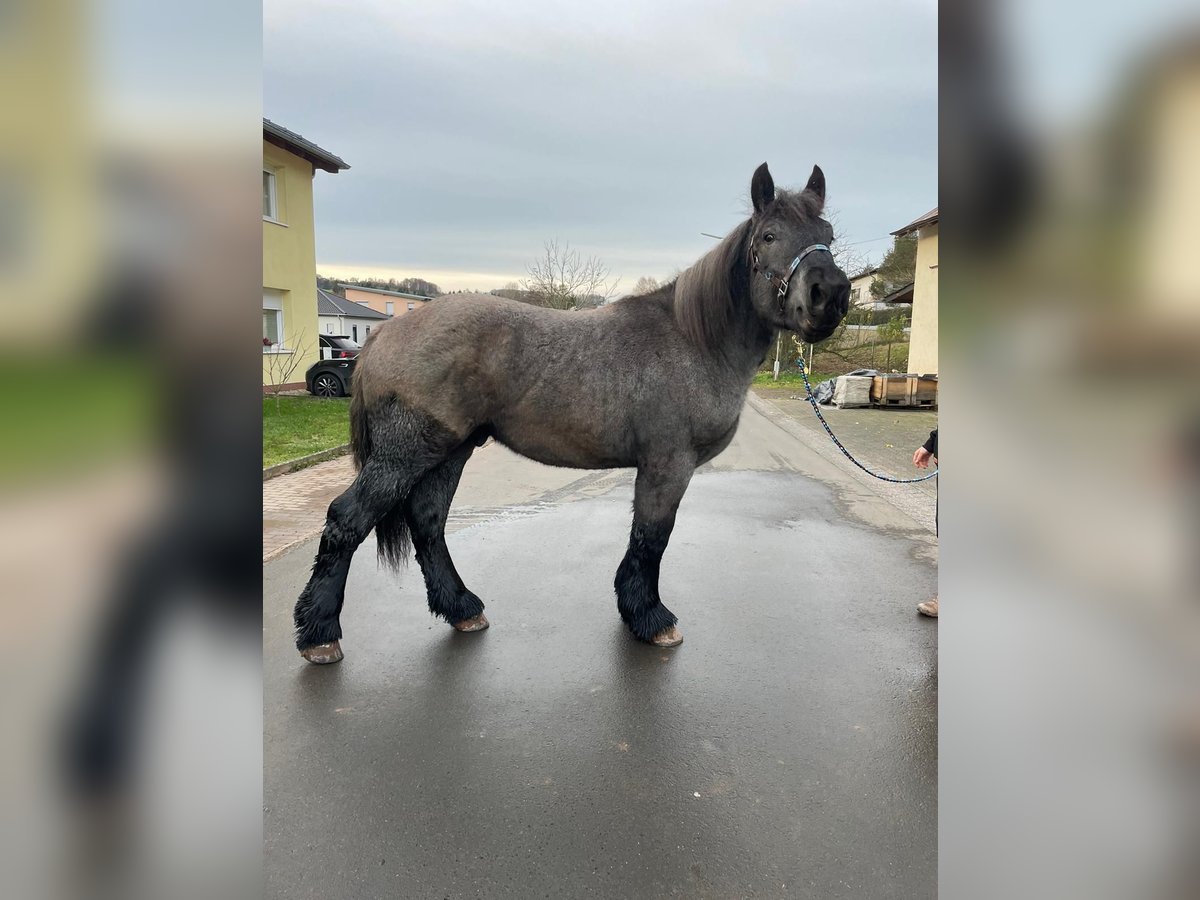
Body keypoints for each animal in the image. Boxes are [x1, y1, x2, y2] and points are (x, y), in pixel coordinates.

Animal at [294, 165, 849, 667]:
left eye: (828, 237)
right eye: (770, 236)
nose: (830, 295)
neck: (693, 340)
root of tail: (386, 333)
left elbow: (646, 539)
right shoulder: (668, 465)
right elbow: (653, 538)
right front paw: (651, 619)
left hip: (449, 450)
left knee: (428, 522)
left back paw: (462, 608)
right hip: (406, 452)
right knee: (346, 521)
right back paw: (320, 635)